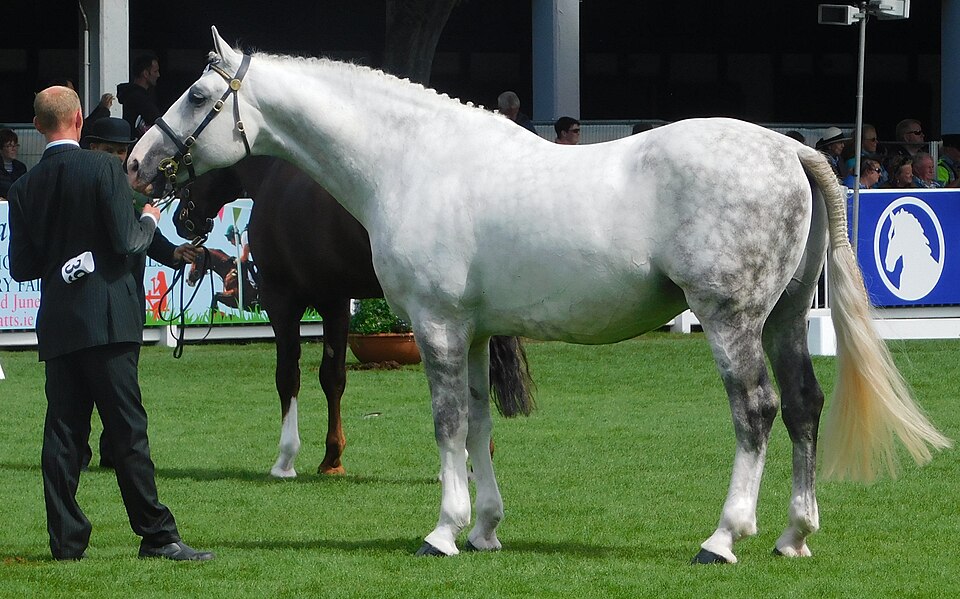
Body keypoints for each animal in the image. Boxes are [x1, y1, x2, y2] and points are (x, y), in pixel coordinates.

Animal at [174, 155, 531, 477]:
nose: (181, 218)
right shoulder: (334, 300)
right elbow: (332, 376)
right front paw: (332, 459)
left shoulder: (281, 298)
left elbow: (288, 374)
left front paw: (286, 460)